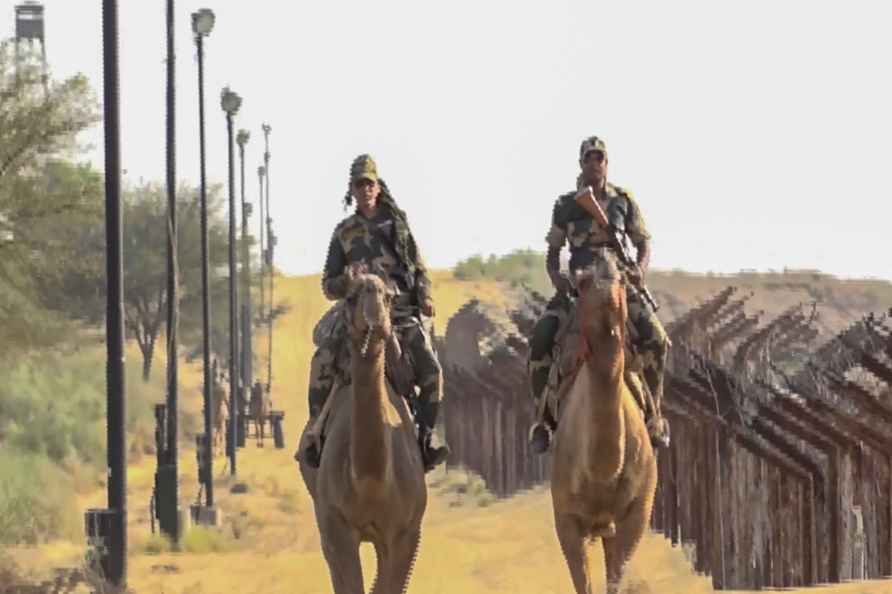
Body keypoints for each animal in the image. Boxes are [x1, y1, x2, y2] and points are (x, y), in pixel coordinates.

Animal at [298, 274, 426, 592]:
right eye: (350, 297)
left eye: (389, 297)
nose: (376, 317)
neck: (371, 481)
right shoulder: (336, 527)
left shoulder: (406, 532)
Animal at [548, 252, 660, 592]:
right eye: (582, 282)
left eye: (622, 278)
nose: (607, 296)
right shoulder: (565, 517)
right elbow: (582, 582)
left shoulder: (637, 514)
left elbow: (615, 579)